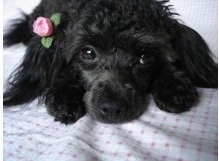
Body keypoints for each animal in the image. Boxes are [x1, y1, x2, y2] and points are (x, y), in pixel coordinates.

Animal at [3, 0, 217, 124]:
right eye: (88, 52)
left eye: (145, 57)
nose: (112, 108)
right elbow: (66, 71)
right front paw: (64, 98)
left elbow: (168, 65)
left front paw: (174, 87)